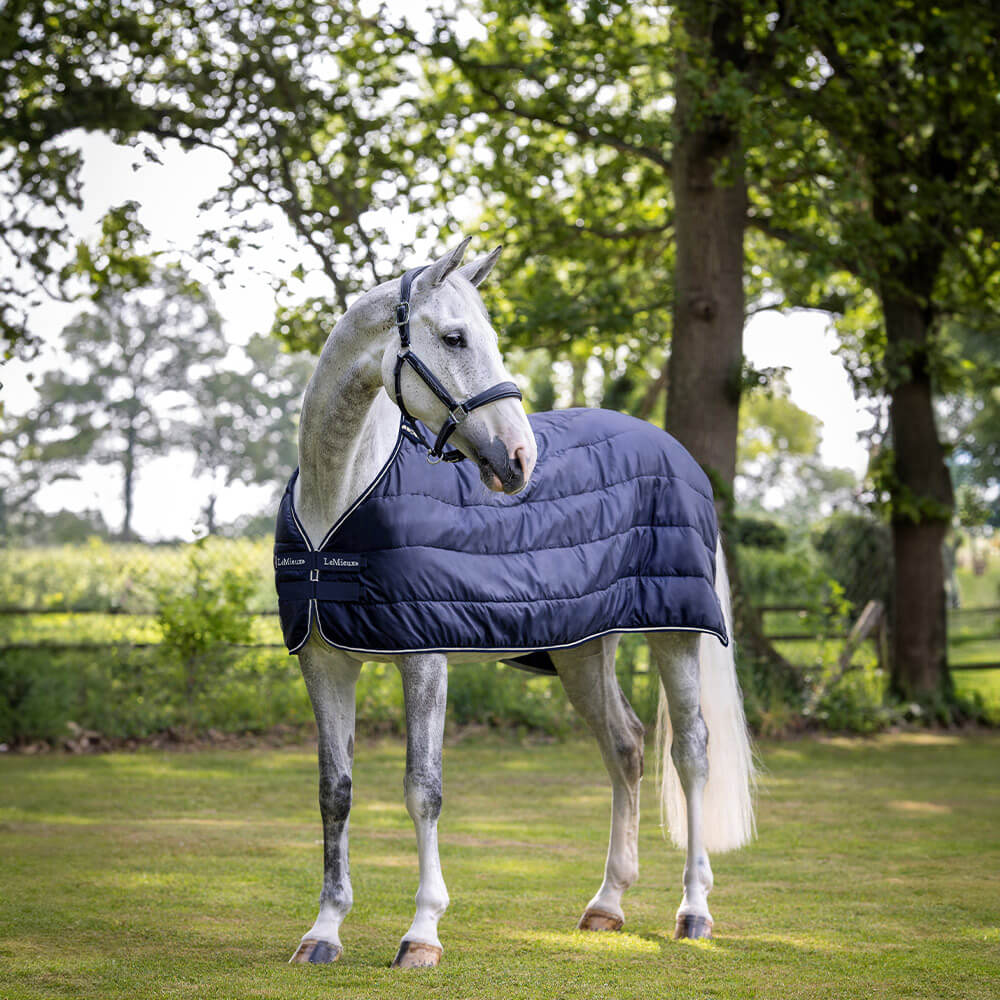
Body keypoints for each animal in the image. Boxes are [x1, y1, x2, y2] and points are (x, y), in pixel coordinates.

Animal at [275, 237, 755, 969]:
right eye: (454, 337)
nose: (520, 459)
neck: (341, 496)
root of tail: (677, 452)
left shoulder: (424, 658)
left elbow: (423, 791)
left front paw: (422, 933)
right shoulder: (325, 662)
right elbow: (336, 793)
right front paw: (323, 932)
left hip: (676, 636)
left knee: (692, 754)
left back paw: (694, 910)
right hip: (584, 651)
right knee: (625, 747)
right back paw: (607, 905)